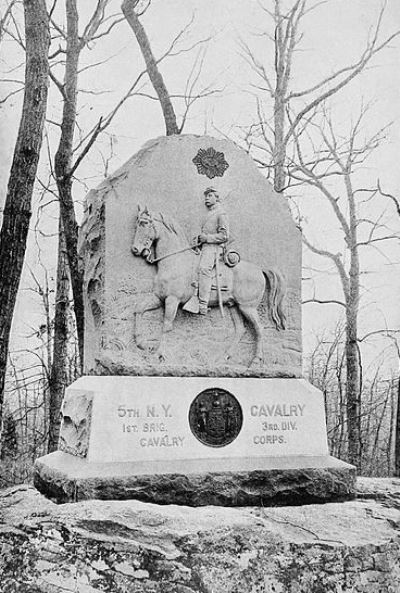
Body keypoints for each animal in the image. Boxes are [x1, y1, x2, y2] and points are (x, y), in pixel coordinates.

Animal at [130, 205, 286, 366]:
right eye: (137, 224)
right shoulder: (159, 298)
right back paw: (223, 357)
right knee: (240, 330)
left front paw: (158, 355)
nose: (135, 249)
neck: (175, 261)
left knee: (259, 329)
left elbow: (166, 325)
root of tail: (260, 269)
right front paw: (142, 344)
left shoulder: (172, 300)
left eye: (144, 223)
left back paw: (255, 360)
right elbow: (139, 309)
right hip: (234, 306)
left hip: (247, 307)